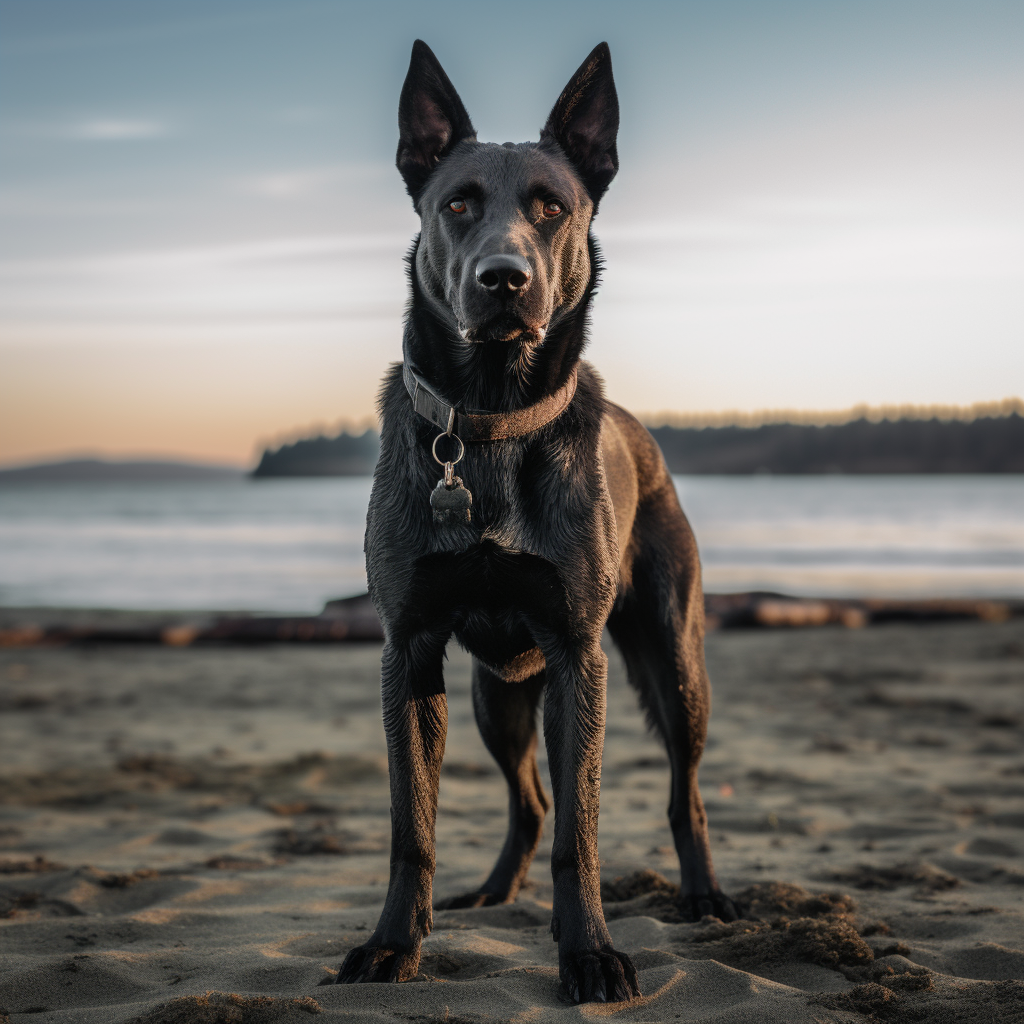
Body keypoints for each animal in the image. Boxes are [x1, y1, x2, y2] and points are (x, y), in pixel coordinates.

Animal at [335, 41, 737, 1007]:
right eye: (457, 203)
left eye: (552, 206)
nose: (504, 281)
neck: (488, 419)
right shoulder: (411, 653)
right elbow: (413, 825)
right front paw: (392, 944)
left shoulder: (576, 657)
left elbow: (581, 832)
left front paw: (589, 952)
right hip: (496, 694)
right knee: (529, 801)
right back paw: (493, 890)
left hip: (673, 664)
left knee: (684, 792)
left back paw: (703, 894)